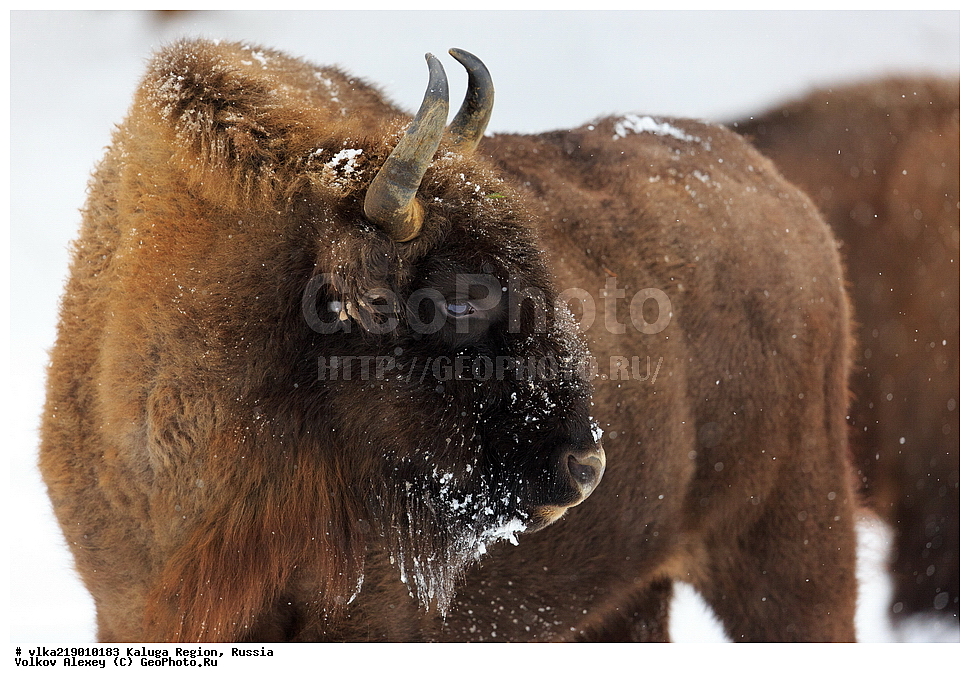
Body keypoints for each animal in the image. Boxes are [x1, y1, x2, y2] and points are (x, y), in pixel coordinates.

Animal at [41, 40, 857, 642]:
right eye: (460, 297)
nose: (584, 468)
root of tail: (787, 203)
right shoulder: (126, 613)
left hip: (793, 558)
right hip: (630, 598)